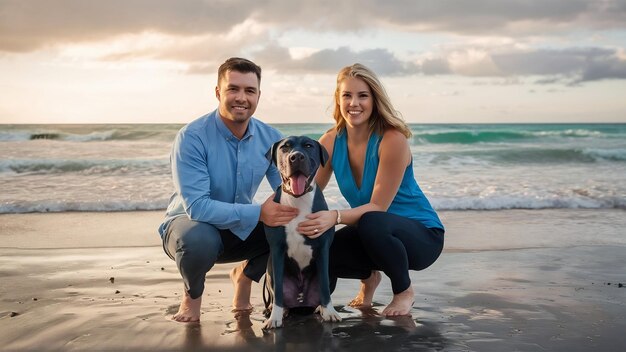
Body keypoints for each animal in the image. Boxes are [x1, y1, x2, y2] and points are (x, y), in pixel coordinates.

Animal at [264, 136, 342, 328]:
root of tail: (300, 300)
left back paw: (320, 308)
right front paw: (275, 317)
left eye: (308, 146)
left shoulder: (322, 249)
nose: (296, 157)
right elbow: (278, 290)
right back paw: (283, 311)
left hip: (332, 269)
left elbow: (324, 286)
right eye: (285, 147)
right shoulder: (277, 250)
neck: (298, 200)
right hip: (269, 269)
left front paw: (329, 311)